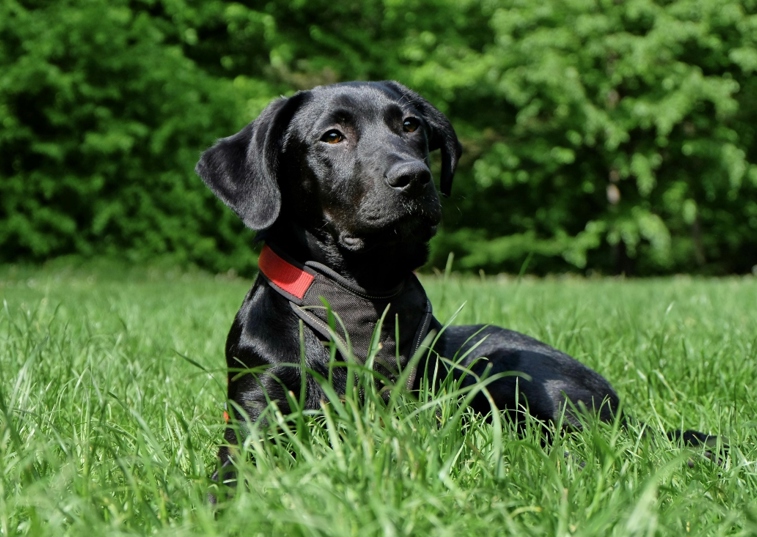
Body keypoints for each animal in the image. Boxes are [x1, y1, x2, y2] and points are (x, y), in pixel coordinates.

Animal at [195, 80, 716, 486]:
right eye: (332, 136)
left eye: (410, 126)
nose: (414, 176)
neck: (361, 298)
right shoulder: (255, 409)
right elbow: (236, 471)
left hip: (513, 373)